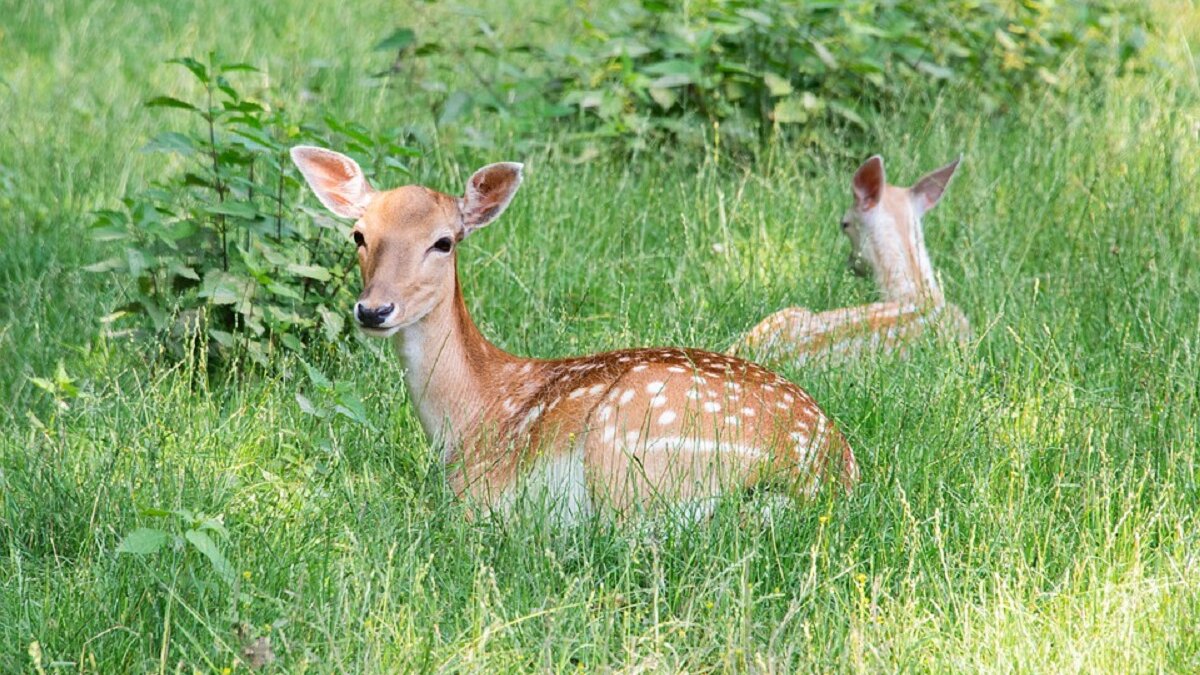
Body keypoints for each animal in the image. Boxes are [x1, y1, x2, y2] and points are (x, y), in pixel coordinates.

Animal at [289, 142, 859, 521]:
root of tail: (817, 476)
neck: (468, 417)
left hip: (629, 447)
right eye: (359, 235)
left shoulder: (477, 494)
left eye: (444, 241)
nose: (374, 310)